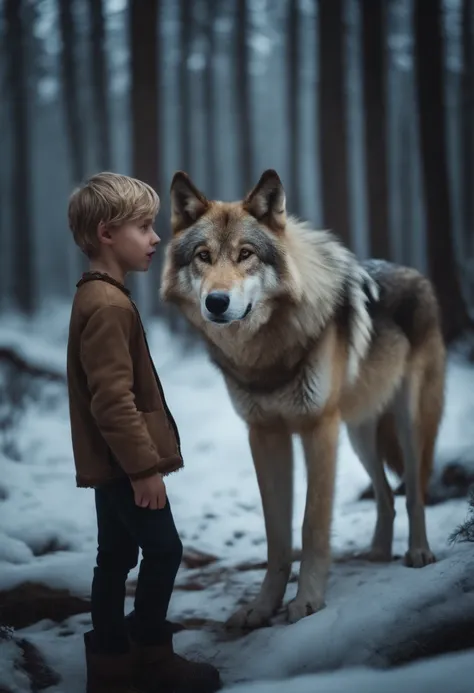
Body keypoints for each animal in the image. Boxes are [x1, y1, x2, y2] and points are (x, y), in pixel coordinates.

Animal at [161, 168, 446, 628]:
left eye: (245, 254)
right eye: (203, 256)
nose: (216, 302)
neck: (266, 354)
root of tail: (417, 275)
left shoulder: (318, 429)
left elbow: (312, 524)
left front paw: (307, 601)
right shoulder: (264, 434)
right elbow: (276, 535)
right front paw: (263, 607)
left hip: (408, 424)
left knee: (415, 492)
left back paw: (418, 552)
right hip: (359, 435)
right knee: (386, 495)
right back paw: (377, 553)